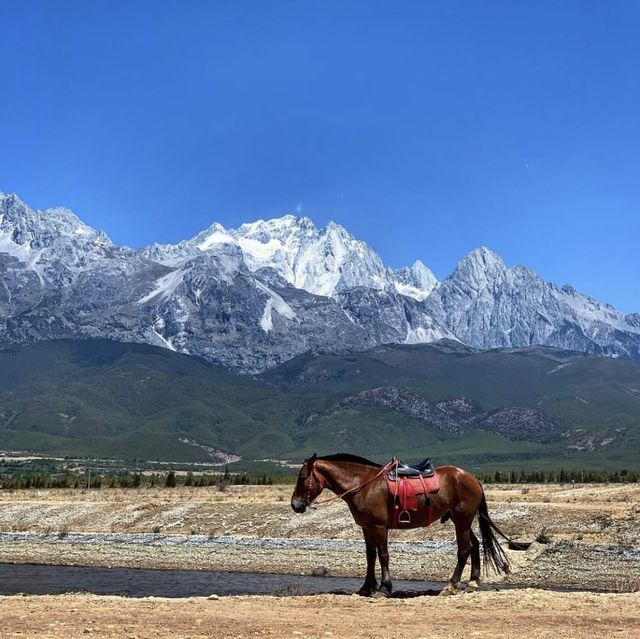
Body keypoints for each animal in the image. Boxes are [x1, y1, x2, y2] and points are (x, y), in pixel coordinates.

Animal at [290, 452, 516, 596]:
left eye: (303, 476)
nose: (295, 505)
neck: (362, 485)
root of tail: (472, 478)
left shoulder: (379, 527)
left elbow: (383, 555)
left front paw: (383, 588)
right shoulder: (366, 528)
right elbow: (370, 556)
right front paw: (366, 587)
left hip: (462, 520)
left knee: (464, 550)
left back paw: (451, 586)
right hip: (461, 520)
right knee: (475, 545)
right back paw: (472, 583)